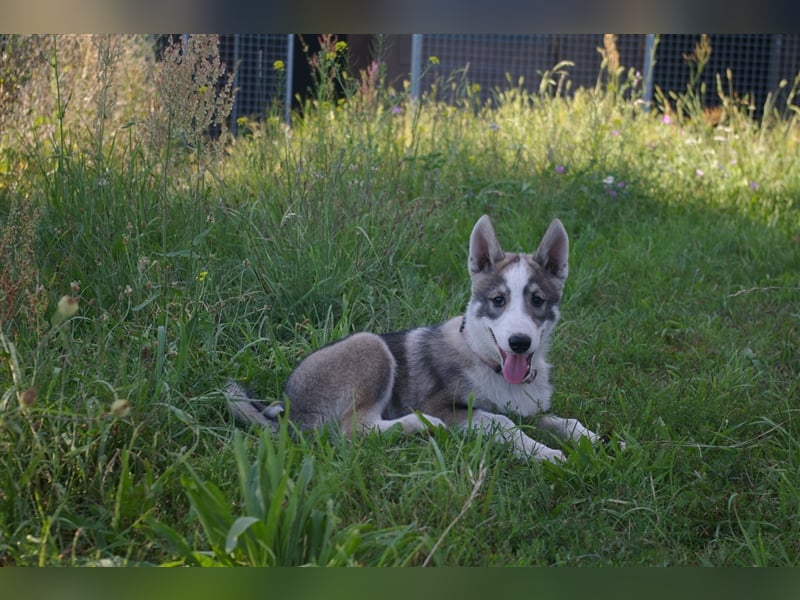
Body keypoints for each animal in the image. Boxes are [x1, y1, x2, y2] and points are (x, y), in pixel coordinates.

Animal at [228, 213, 604, 462]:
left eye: (537, 301)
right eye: (498, 300)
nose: (520, 343)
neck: (488, 361)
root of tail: (287, 408)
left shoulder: (528, 408)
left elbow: (562, 420)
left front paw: (593, 439)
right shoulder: (447, 406)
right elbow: (501, 421)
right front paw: (544, 452)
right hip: (371, 347)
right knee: (355, 432)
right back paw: (423, 425)